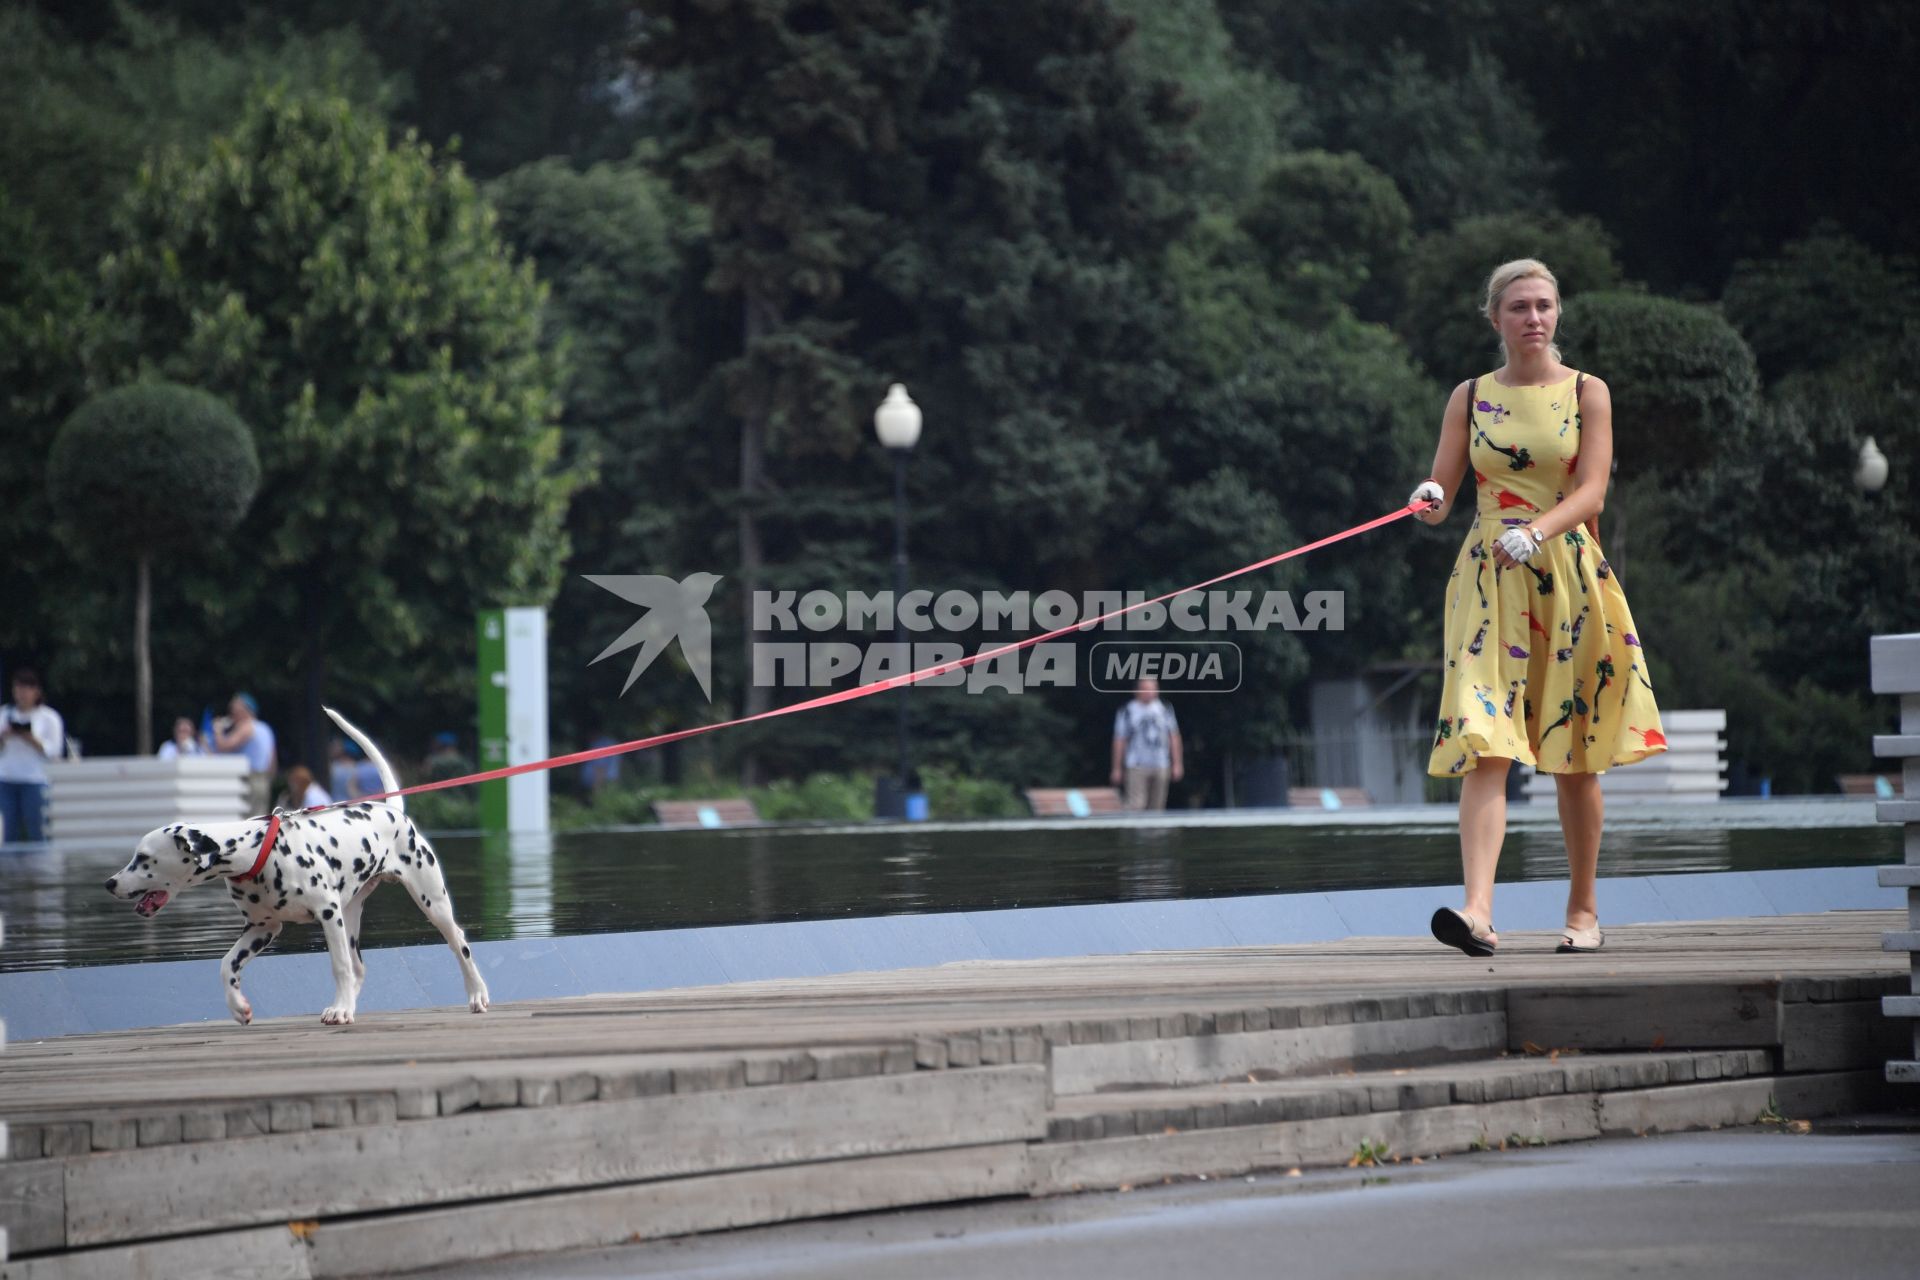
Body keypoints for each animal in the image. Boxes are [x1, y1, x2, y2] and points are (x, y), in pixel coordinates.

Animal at [104, 706, 487, 1028]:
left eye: (143, 858)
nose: (110, 884)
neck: (257, 851)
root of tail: (392, 810)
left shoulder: (327, 914)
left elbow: (338, 966)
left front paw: (341, 1011)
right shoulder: (263, 927)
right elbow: (226, 965)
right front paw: (239, 1007)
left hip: (430, 904)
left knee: (459, 945)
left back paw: (475, 995)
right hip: (350, 915)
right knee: (359, 968)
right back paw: (345, 1003)